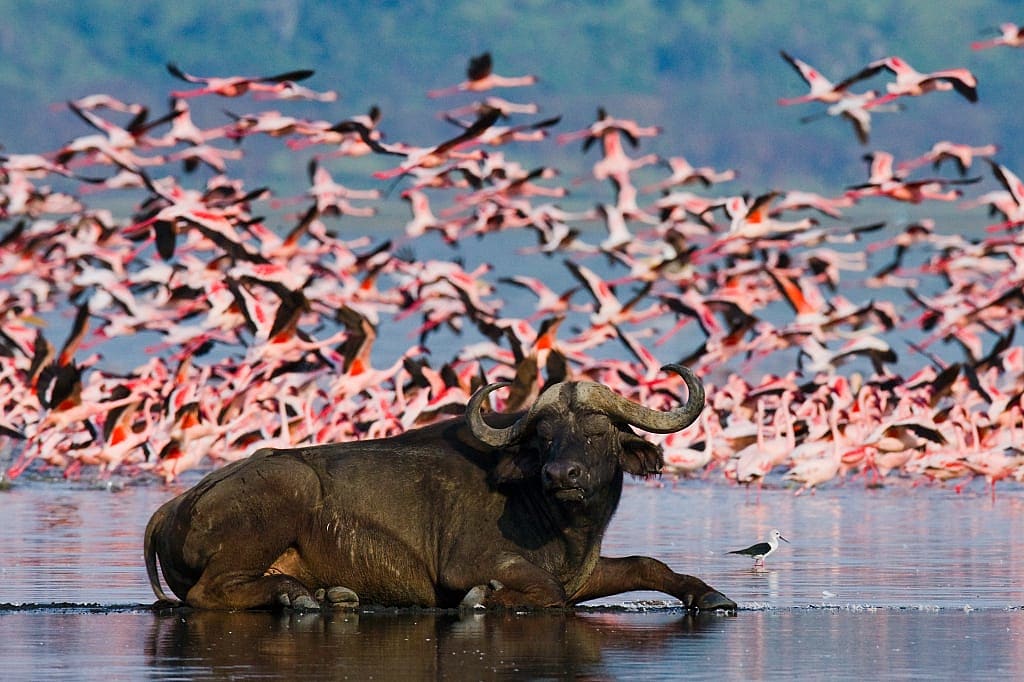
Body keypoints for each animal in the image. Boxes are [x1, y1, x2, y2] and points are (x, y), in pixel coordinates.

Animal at [145, 363, 735, 613]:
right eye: (545, 437)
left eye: (597, 432)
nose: (561, 476)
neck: (561, 524)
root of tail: (171, 507)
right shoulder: (469, 564)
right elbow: (545, 593)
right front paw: (484, 600)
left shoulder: (584, 572)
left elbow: (647, 565)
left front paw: (711, 595)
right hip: (286, 490)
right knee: (207, 594)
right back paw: (300, 598)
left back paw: (327, 595)